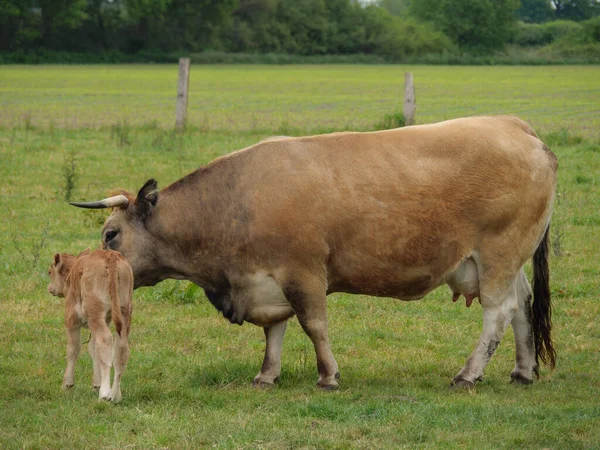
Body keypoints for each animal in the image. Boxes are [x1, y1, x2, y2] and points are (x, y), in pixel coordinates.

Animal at [47, 248, 134, 402]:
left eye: (49, 272)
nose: (49, 288)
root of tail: (110, 256)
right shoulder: (103, 321)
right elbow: (93, 348)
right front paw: (96, 384)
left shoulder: (71, 319)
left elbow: (73, 349)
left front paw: (67, 384)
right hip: (123, 312)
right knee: (121, 347)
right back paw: (115, 395)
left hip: (95, 313)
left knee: (105, 340)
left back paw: (105, 393)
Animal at [70, 116, 556, 390]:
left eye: (110, 235)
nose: (89, 277)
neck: (234, 201)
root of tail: (516, 126)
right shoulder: (264, 279)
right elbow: (275, 331)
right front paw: (267, 375)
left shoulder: (303, 273)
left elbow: (314, 325)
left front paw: (328, 375)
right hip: (508, 260)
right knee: (522, 306)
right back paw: (523, 370)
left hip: (497, 255)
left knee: (498, 313)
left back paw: (468, 374)